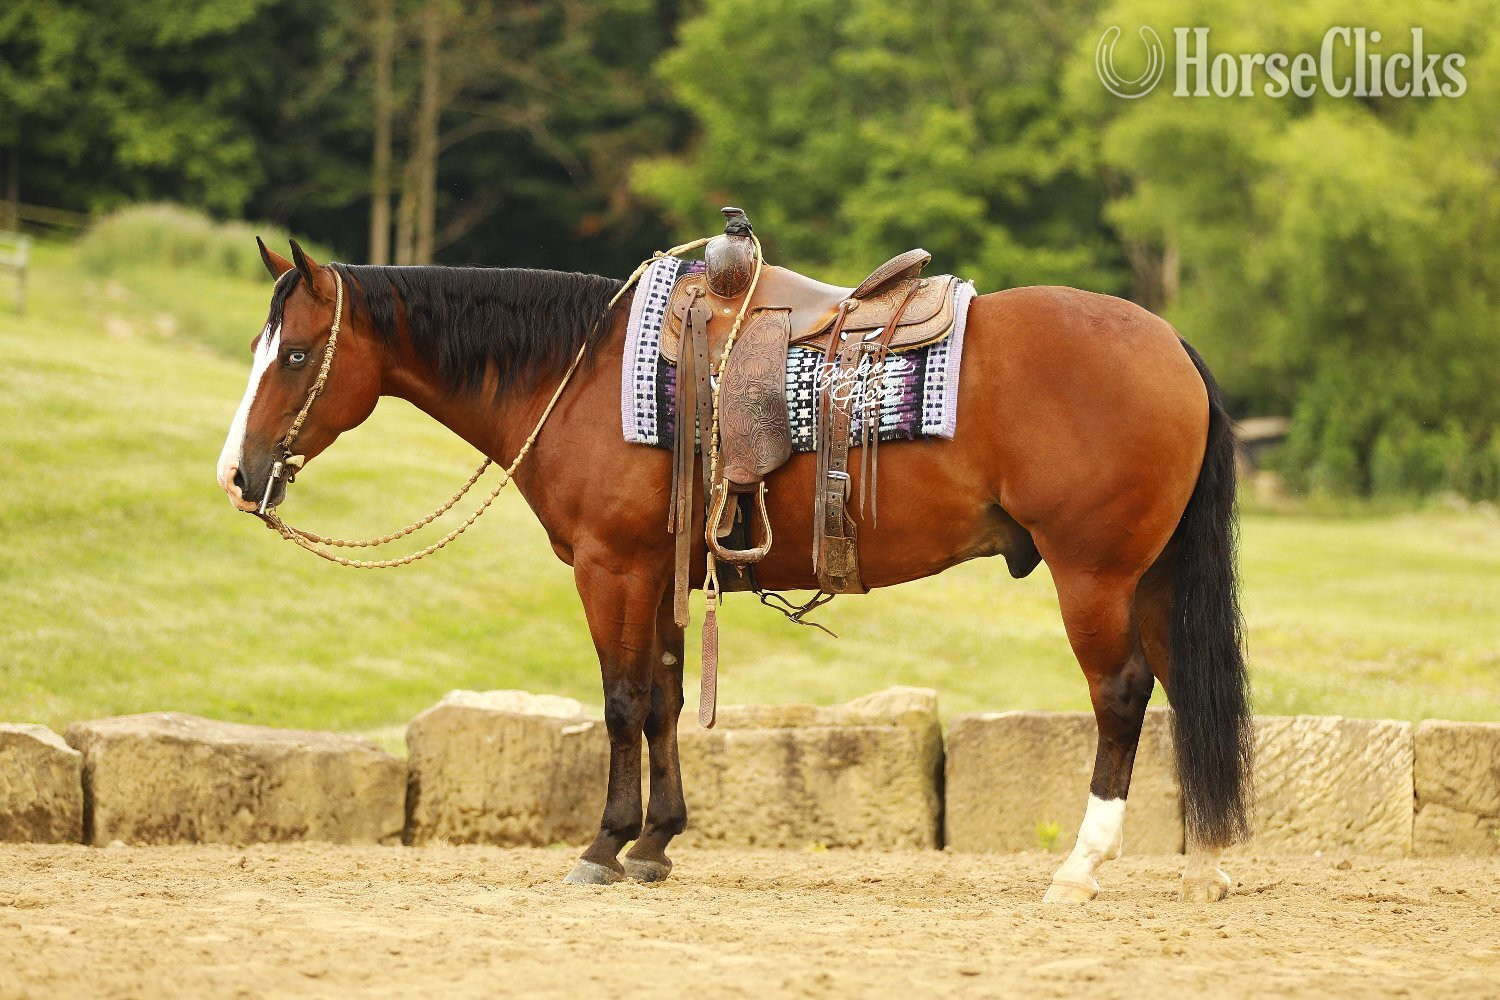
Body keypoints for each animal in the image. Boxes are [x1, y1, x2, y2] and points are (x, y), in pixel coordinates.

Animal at [216, 238, 1252, 903]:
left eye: (297, 353)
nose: (236, 475)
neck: (582, 373)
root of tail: (1172, 345)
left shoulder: (612, 567)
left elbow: (622, 701)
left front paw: (604, 845)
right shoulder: (662, 572)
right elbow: (667, 700)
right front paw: (656, 843)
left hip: (1095, 576)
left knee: (1122, 695)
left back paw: (1081, 866)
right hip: (1152, 578)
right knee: (1184, 691)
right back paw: (1203, 862)